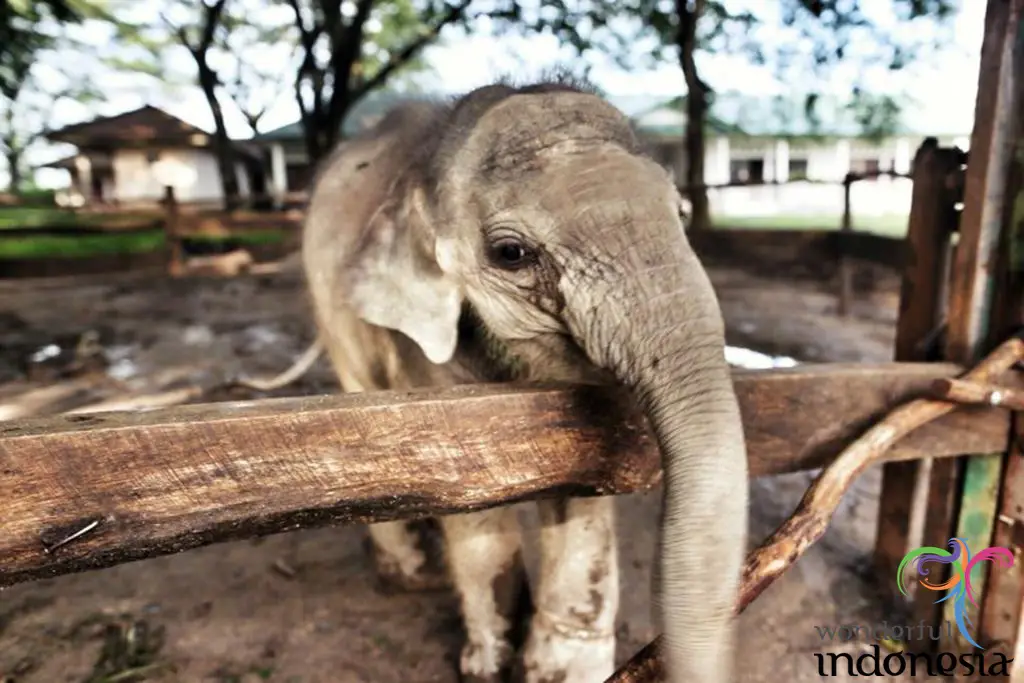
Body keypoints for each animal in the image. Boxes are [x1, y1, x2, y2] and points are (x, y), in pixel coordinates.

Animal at [299, 77, 749, 683]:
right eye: (510, 253)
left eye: (680, 213)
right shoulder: (421, 344)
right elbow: (471, 497)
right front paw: (488, 666)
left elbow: (580, 490)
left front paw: (562, 670)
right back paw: (413, 575)